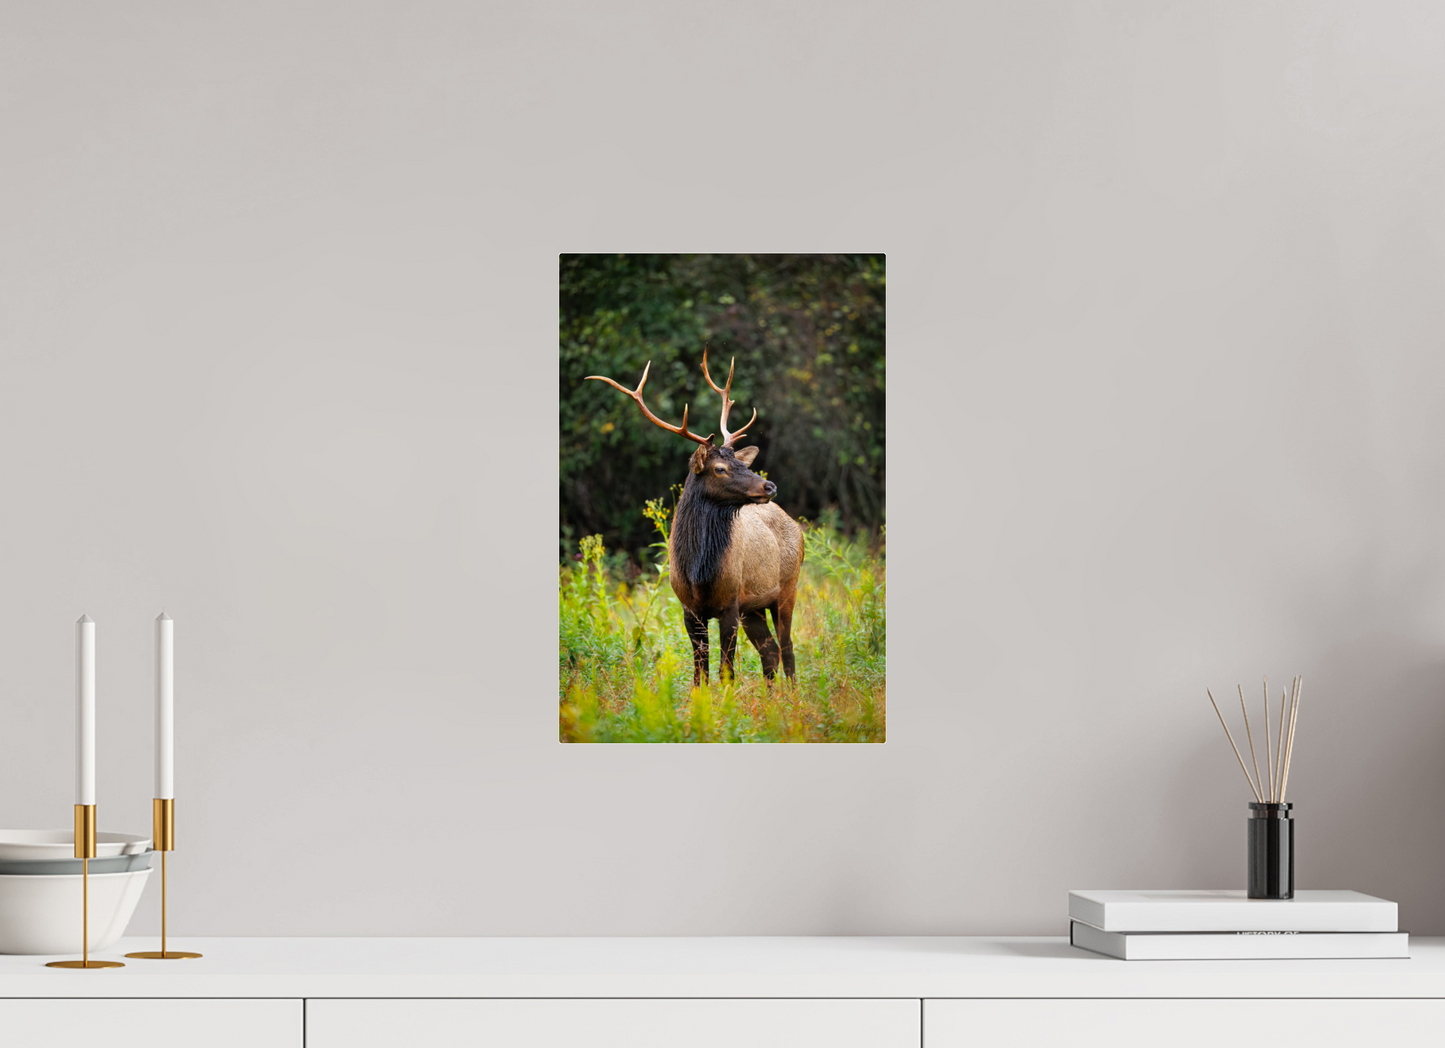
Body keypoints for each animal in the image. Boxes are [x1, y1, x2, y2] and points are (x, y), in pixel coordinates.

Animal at [587, 349, 804, 685]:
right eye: (720, 468)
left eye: (741, 463)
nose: (770, 485)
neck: (699, 572)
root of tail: (797, 527)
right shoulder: (690, 609)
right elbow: (699, 673)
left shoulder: (730, 604)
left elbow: (726, 672)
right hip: (753, 607)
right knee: (770, 651)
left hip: (787, 587)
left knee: (788, 649)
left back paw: (792, 698)